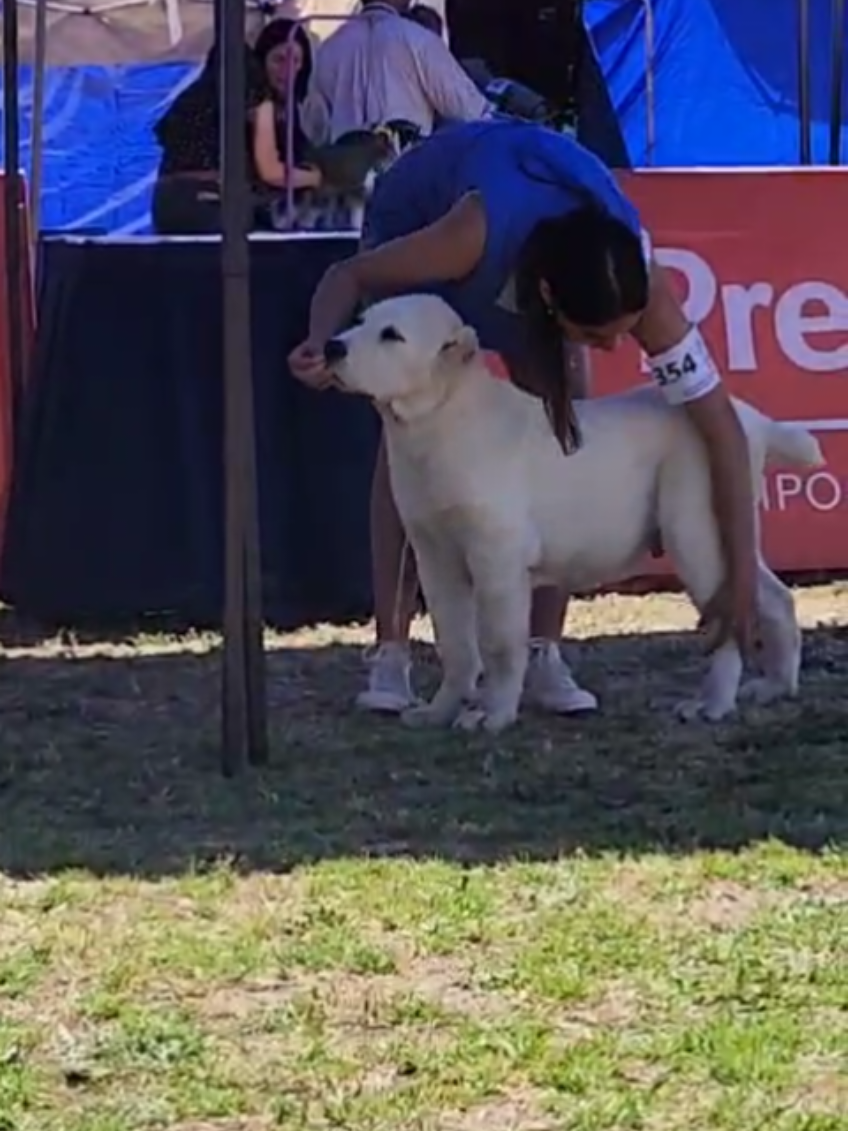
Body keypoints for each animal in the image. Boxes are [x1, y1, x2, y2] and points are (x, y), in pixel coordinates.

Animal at [275, 119, 425, 231]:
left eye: (418, 134)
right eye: (414, 135)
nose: (425, 138)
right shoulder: (360, 189)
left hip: (325, 196)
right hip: (311, 192)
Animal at [323, 296, 823, 732]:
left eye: (391, 335)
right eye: (360, 320)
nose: (332, 347)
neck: (443, 416)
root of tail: (749, 418)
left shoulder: (497, 556)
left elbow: (499, 643)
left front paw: (491, 715)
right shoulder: (434, 556)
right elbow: (457, 642)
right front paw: (441, 710)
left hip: (695, 529)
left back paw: (711, 704)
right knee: (773, 597)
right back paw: (774, 687)